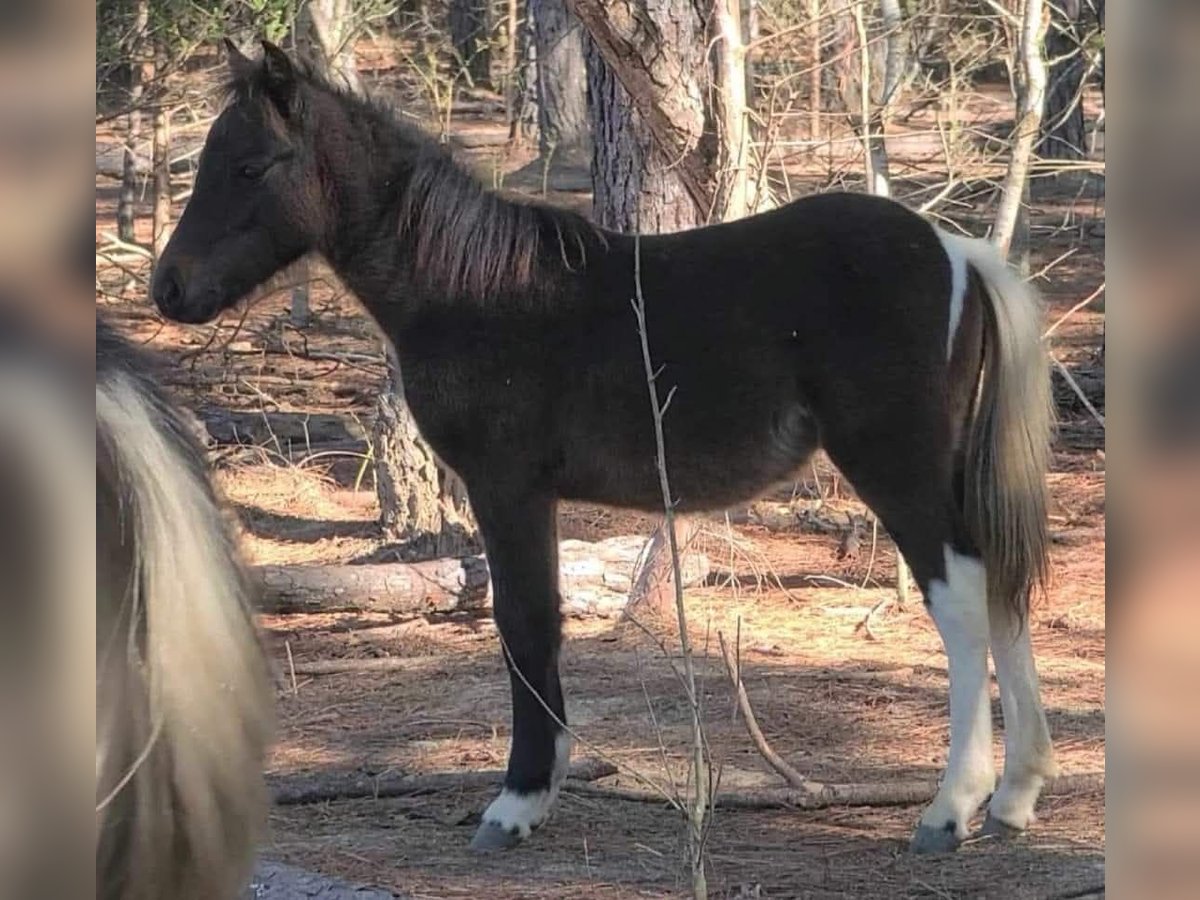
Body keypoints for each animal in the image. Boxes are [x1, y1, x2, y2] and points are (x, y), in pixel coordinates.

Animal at [154, 42, 1056, 854]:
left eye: (250, 167)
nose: (169, 288)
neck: (472, 288)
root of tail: (954, 250)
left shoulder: (506, 487)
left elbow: (523, 623)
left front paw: (517, 804)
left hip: (896, 465)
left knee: (959, 598)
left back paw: (951, 810)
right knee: (1001, 584)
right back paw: (1015, 798)